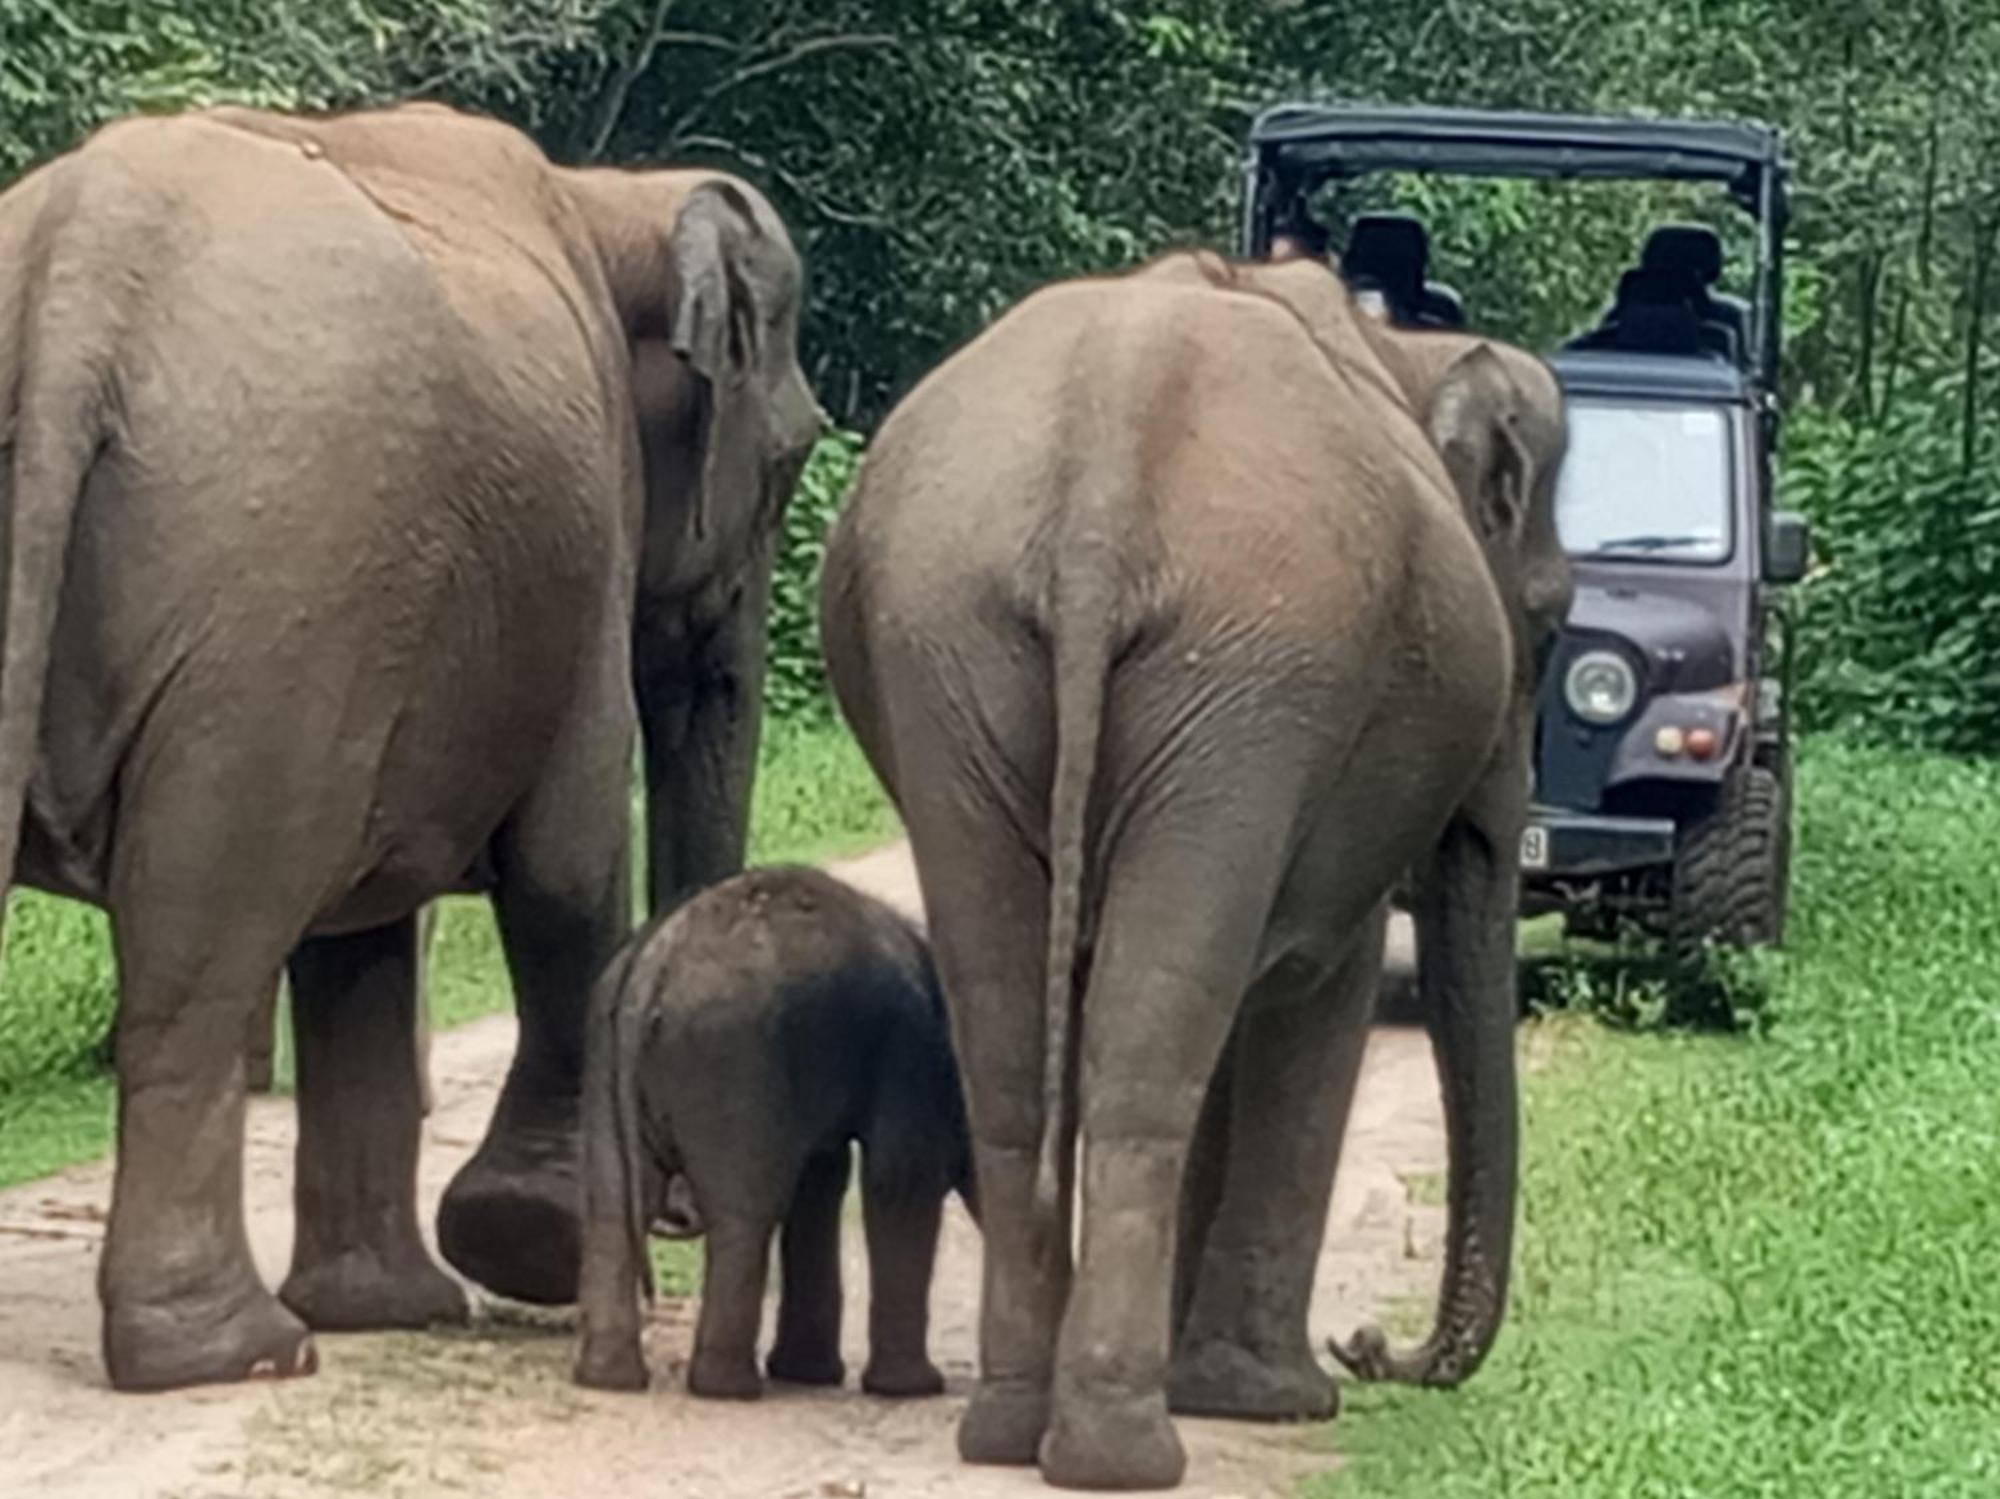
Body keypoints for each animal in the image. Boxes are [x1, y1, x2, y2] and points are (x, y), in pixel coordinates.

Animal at [0, 102, 820, 1399]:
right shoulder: (587, 527)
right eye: (792, 459)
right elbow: (567, 864)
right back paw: (239, 1353)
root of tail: (78, 267)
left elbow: (367, 939)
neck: (609, 195)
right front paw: (531, 1246)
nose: (681, 1213)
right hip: (281, 587)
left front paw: (393, 1306)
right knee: (207, 936)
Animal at [572, 867, 976, 1407]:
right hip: (733, 1058)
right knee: (745, 1211)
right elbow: (902, 1175)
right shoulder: (911, 1052)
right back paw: (728, 1390)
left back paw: (608, 1379)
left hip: (604, 1052)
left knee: (613, 1209)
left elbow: (821, 1182)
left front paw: (809, 1374)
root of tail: (652, 963)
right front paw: (914, 1390)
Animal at [812, 249, 1560, 1495]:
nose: (1369, 1344)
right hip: (1251, 674)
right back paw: (1122, 1451)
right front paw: (1274, 1398)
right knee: (1151, 1049)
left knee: (1016, 1049)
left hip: (959, 653)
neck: (1400, 350)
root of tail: (1097, 504)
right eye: (1548, 625)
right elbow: (1314, 987)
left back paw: (1014, 1429)